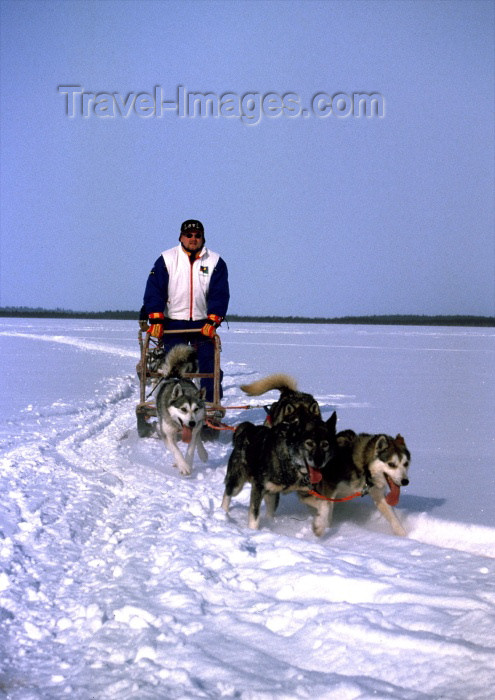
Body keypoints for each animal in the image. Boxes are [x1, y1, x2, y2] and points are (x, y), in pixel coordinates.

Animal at [156, 344, 208, 476]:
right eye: (183, 409)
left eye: (196, 409)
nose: (192, 423)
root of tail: (176, 376)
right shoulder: (167, 435)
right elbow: (176, 450)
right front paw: (183, 465)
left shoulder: (193, 432)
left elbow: (191, 449)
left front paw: (187, 463)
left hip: (198, 425)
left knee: (198, 437)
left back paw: (203, 453)